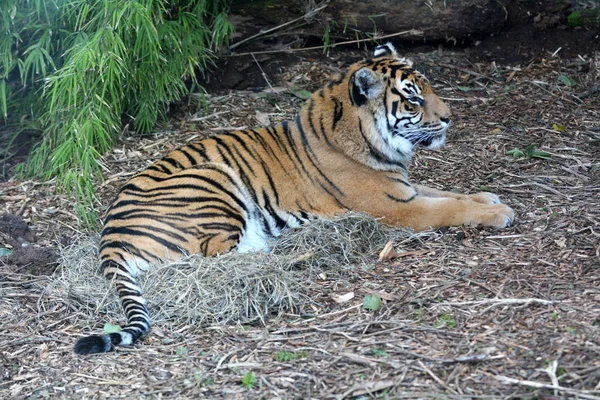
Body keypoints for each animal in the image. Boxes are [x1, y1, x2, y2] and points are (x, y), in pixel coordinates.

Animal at [74, 43, 516, 354]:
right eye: (412, 99)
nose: (449, 118)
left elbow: (450, 193)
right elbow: (449, 206)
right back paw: (294, 254)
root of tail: (108, 238)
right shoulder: (394, 205)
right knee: (218, 255)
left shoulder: (403, 187)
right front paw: (501, 212)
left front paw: (490, 196)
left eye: (428, 88)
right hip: (213, 180)